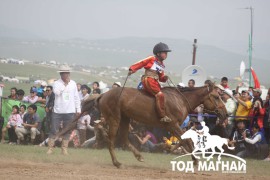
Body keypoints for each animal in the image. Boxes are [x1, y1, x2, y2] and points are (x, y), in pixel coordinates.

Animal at [58, 82, 227, 168]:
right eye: (216, 96)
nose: (225, 113)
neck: (179, 100)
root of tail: (102, 95)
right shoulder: (172, 125)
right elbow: (187, 141)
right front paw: (196, 161)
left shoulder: (173, 128)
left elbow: (184, 141)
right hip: (115, 118)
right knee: (111, 140)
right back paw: (117, 162)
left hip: (125, 119)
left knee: (123, 138)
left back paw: (138, 156)